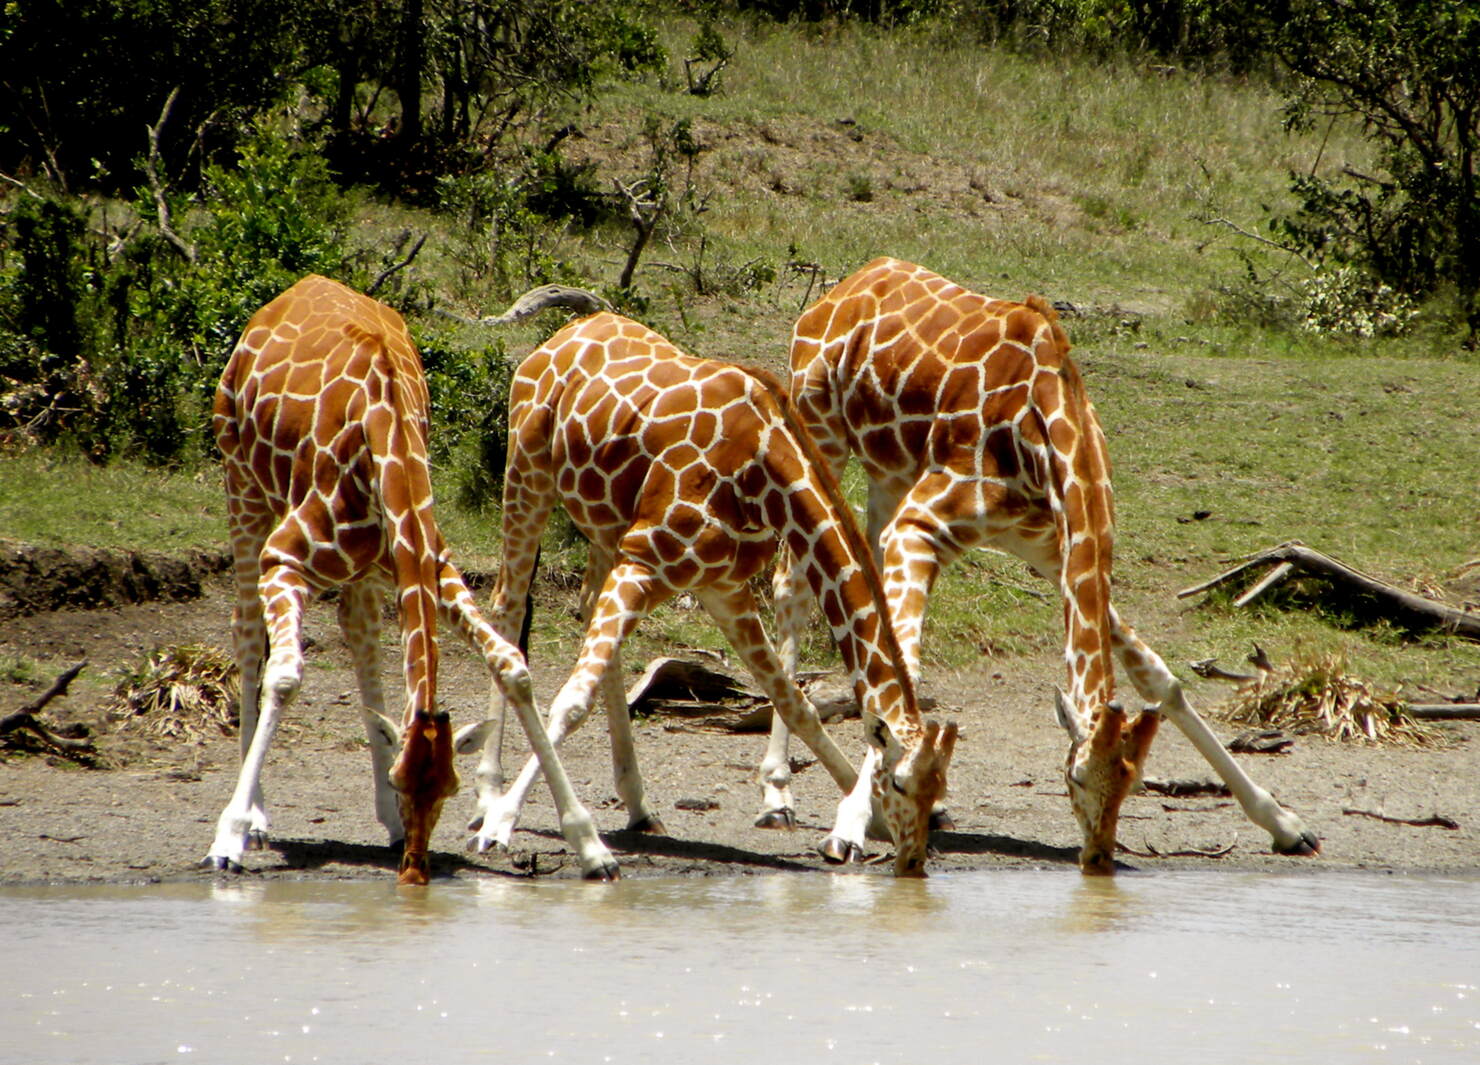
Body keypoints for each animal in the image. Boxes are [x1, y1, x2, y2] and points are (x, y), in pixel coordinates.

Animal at [207, 272, 612, 881]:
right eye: (404, 783)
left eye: (447, 789)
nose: (415, 870)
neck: (386, 437)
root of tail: (292, 290)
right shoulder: (287, 559)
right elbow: (285, 676)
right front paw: (229, 835)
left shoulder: (431, 564)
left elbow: (512, 667)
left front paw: (591, 846)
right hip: (242, 483)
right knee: (248, 631)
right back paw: (256, 817)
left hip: (363, 567)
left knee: (359, 632)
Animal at [455, 307, 959, 875]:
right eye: (900, 783)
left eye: (937, 789)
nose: (913, 862)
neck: (764, 474)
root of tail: (560, 336)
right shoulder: (645, 562)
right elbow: (571, 704)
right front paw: (506, 824)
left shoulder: (722, 587)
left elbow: (795, 702)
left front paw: (856, 820)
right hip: (527, 473)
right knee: (509, 606)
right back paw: (487, 798)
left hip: (605, 527)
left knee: (587, 616)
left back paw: (638, 805)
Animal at [763, 255, 1320, 875]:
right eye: (1074, 779)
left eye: (1133, 782)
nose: (1097, 859)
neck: (1043, 432)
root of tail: (846, 284)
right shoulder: (922, 526)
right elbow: (900, 675)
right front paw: (849, 828)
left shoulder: (1052, 551)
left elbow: (1161, 679)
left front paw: (1285, 823)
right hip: (820, 431)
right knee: (790, 586)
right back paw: (777, 794)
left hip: (890, 473)